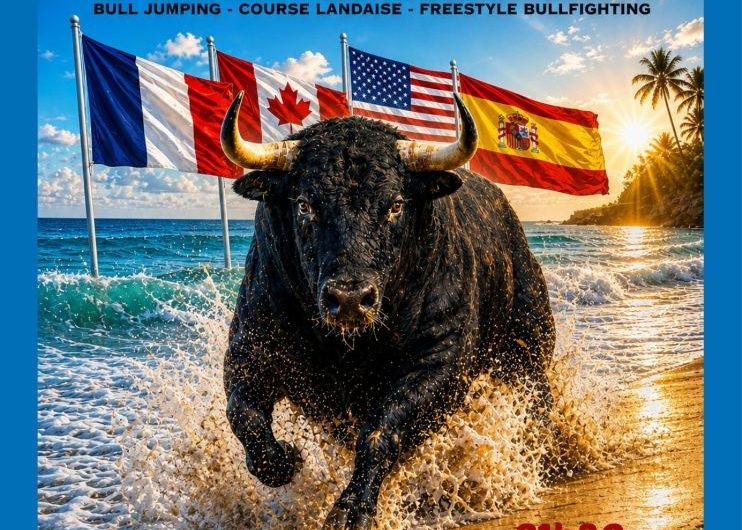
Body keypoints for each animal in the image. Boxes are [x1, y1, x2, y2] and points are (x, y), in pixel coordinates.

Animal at [221, 91, 555, 530]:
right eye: (305, 204)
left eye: (395, 204)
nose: (349, 298)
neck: (348, 348)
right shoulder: (249, 354)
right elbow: (247, 423)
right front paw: (287, 458)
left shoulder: (438, 365)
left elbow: (381, 433)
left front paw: (351, 509)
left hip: (529, 347)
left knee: (539, 401)